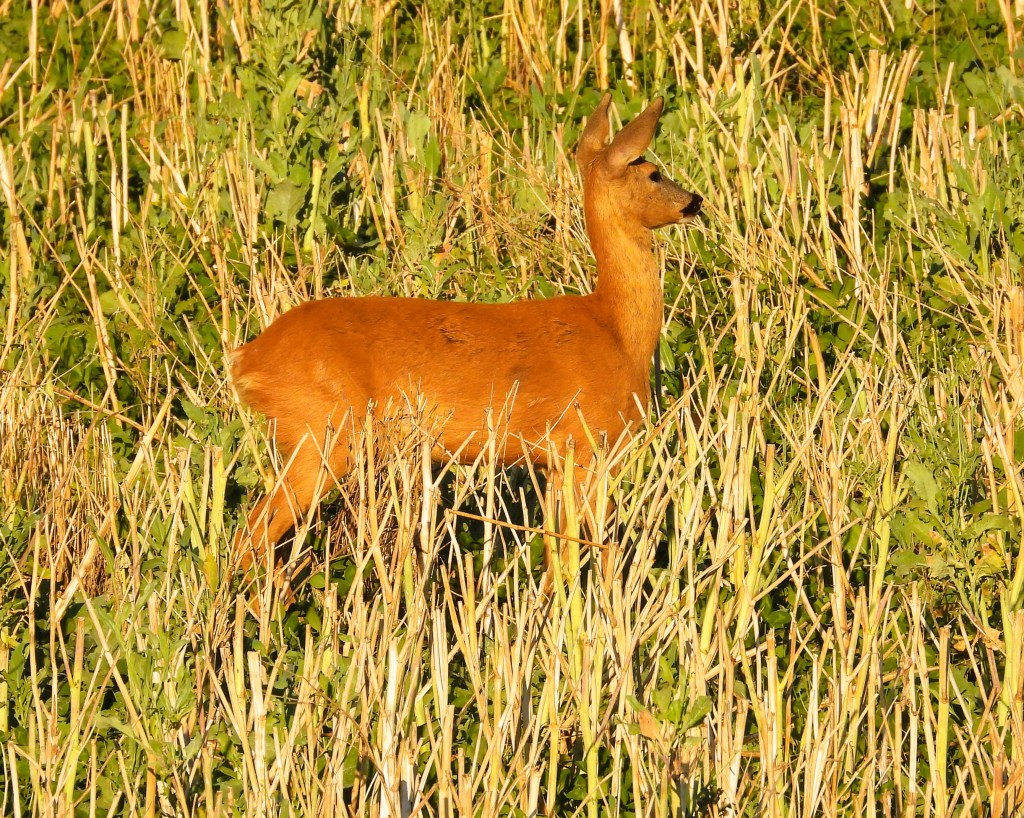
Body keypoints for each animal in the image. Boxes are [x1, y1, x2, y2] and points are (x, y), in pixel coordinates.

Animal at [230, 92, 702, 572]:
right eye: (653, 173)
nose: (695, 199)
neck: (617, 330)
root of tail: (247, 359)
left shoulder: (554, 460)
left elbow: (556, 550)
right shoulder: (588, 442)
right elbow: (595, 547)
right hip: (322, 430)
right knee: (252, 532)